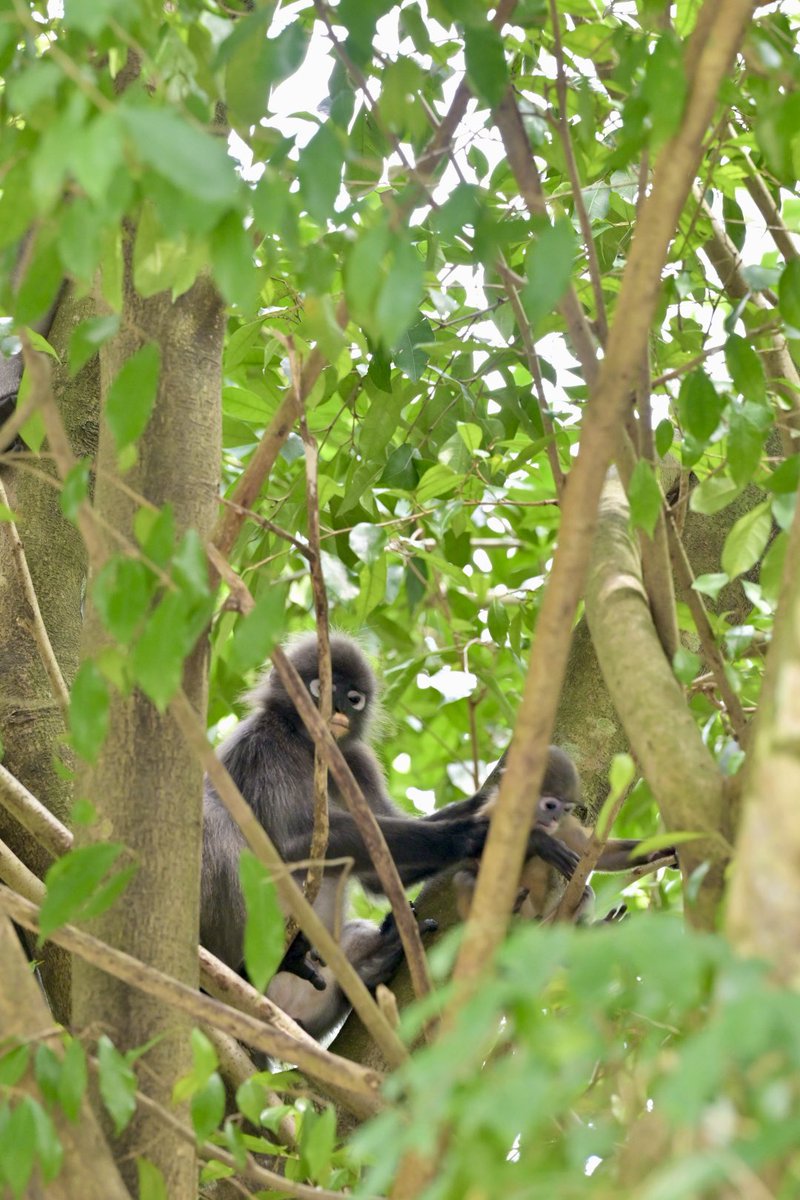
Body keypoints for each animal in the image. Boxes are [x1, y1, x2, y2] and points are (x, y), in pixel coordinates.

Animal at [200, 635, 579, 1039]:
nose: (337, 707)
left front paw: (487, 805)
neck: (308, 746)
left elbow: (379, 878)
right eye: (320, 687)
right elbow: (293, 844)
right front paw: (476, 834)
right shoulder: (263, 744)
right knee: (216, 823)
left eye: (353, 697)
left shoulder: (355, 762)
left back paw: (378, 958)